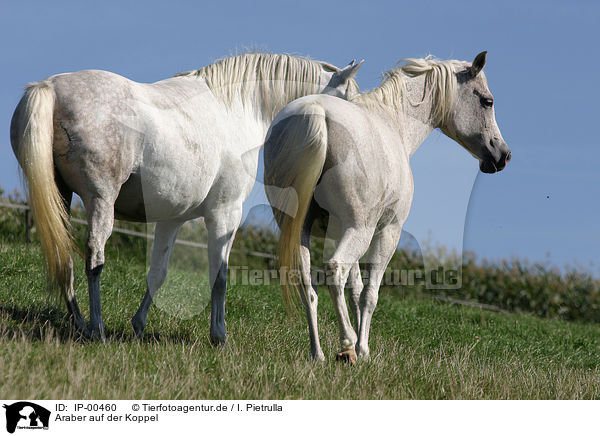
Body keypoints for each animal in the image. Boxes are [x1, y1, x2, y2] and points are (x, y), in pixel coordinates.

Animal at [11, 52, 364, 344]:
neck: (235, 109)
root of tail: (51, 89)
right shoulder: (225, 214)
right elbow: (219, 275)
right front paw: (219, 337)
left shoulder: (172, 219)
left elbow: (158, 273)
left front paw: (138, 326)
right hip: (100, 201)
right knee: (94, 258)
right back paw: (97, 330)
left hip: (61, 197)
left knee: (65, 256)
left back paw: (81, 324)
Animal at [266, 51, 510, 362]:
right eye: (487, 101)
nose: (503, 154)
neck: (393, 123)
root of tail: (317, 114)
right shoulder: (386, 232)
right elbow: (369, 294)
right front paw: (362, 349)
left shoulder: (336, 232)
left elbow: (355, 290)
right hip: (358, 231)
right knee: (335, 270)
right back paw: (347, 342)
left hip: (301, 230)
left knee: (306, 284)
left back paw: (317, 353)